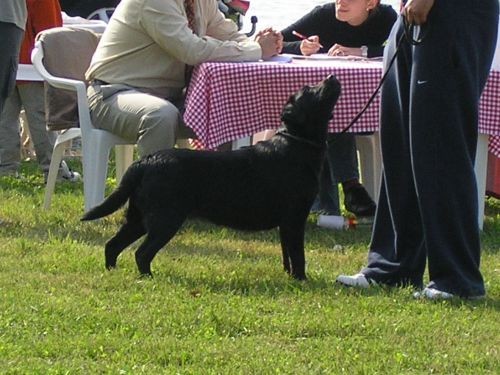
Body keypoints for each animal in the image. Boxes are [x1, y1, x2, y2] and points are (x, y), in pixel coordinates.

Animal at [81, 75, 340, 280]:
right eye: (309, 90)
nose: (331, 76)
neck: (296, 143)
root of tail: (145, 161)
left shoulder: (286, 222)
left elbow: (287, 254)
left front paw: (290, 276)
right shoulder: (295, 217)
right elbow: (298, 255)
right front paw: (302, 280)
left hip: (139, 218)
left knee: (112, 245)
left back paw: (112, 272)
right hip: (165, 218)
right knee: (141, 253)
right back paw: (149, 277)